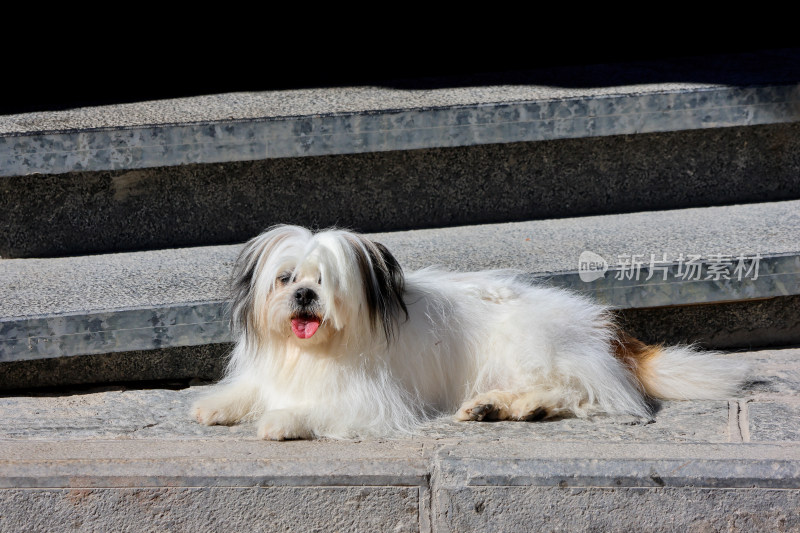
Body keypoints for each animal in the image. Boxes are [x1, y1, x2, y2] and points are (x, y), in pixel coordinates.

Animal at [194, 227, 752, 438]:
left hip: (529, 349)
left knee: (582, 394)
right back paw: (494, 407)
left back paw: (525, 406)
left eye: (325, 281)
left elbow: (316, 409)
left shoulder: (373, 402)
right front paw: (217, 404)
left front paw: (283, 420)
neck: (315, 349)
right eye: (286, 278)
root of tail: (604, 327)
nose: (305, 296)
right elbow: (251, 389)